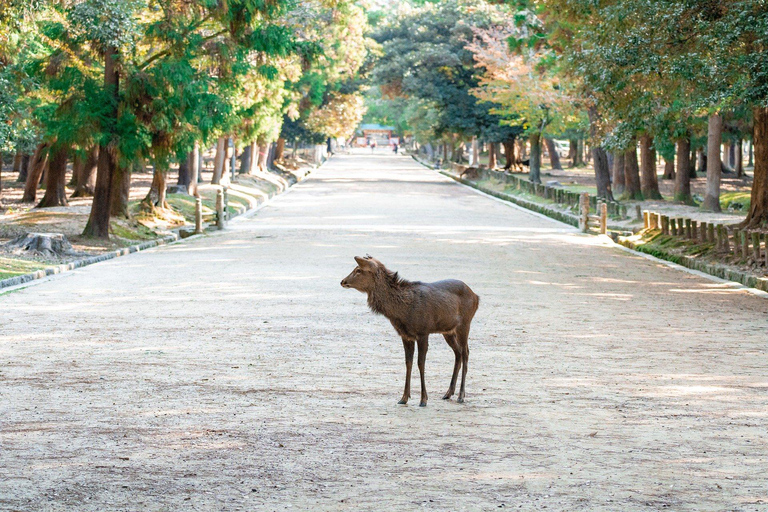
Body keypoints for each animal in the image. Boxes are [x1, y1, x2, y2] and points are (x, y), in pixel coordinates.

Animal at [342, 256, 480, 408]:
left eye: (358, 270)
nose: (343, 281)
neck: (401, 311)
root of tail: (476, 297)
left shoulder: (423, 332)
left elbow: (421, 363)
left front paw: (423, 399)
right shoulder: (406, 335)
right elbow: (408, 363)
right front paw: (404, 397)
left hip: (465, 324)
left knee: (466, 352)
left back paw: (461, 396)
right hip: (448, 331)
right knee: (458, 353)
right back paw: (448, 393)